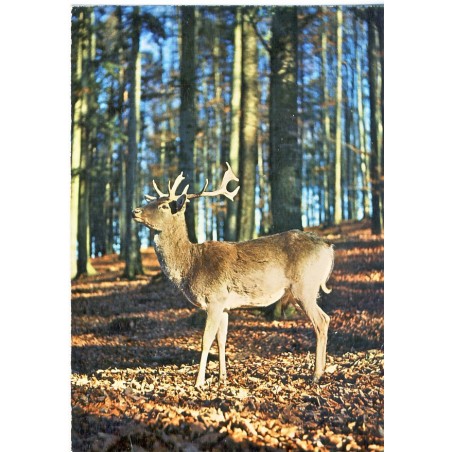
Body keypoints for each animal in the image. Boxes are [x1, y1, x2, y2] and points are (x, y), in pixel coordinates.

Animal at [132, 164, 334, 386]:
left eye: (164, 206)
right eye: (151, 200)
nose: (135, 211)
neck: (190, 265)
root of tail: (329, 247)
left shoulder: (214, 298)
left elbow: (205, 340)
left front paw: (199, 381)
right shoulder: (225, 305)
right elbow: (221, 340)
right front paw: (222, 377)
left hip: (304, 286)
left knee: (322, 321)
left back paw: (316, 374)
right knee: (325, 319)